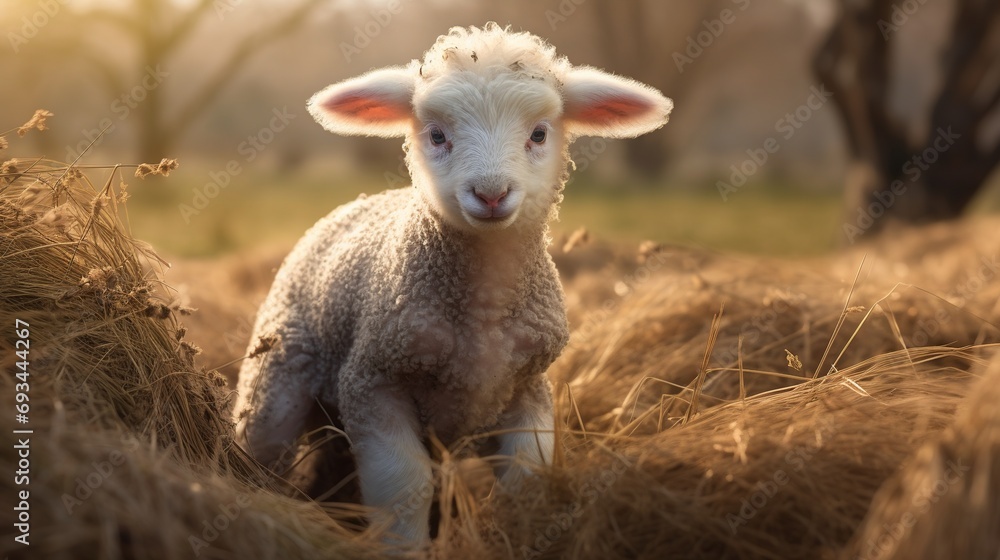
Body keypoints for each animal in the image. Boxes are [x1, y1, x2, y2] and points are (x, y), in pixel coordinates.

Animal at [233, 23, 673, 547]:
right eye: (438, 135)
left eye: (539, 133)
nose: (491, 193)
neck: (482, 313)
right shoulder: (373, 381)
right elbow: (404, 486)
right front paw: (404, 549)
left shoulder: (526, 389)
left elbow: (528, 483)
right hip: (277, 384)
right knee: (263, 453)